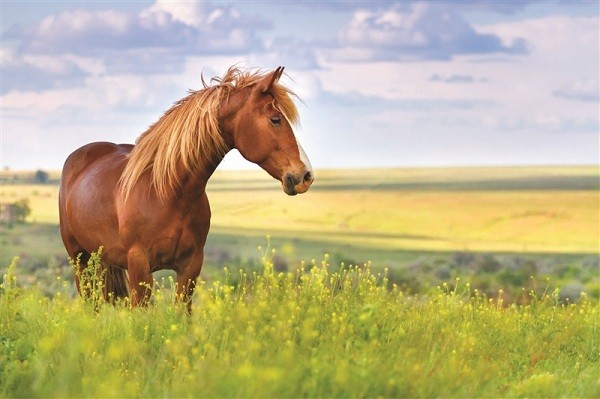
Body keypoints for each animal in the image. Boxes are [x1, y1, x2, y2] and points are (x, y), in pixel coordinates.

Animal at [57, 65, 314, 310]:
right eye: (275, 119)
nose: (306, 175)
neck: (168, 193)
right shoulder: (139, 266)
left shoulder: (190, 266)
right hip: (80, 259)